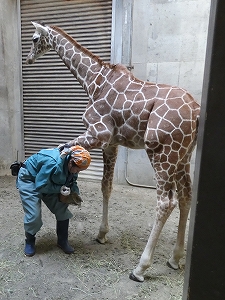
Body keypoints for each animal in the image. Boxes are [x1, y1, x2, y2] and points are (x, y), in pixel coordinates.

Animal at [25, 21, 200, 282]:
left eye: (35, 38)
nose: (28, 59)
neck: (92, 81)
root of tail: (197, 112)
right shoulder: (112, 143)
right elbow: (105, 187)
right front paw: (102, 234)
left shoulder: (98, 134)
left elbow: (62, 149)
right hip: (183, 154)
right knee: (186, 195)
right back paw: (175, 258)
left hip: (162, 152)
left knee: (165, 202)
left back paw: (140, 268)